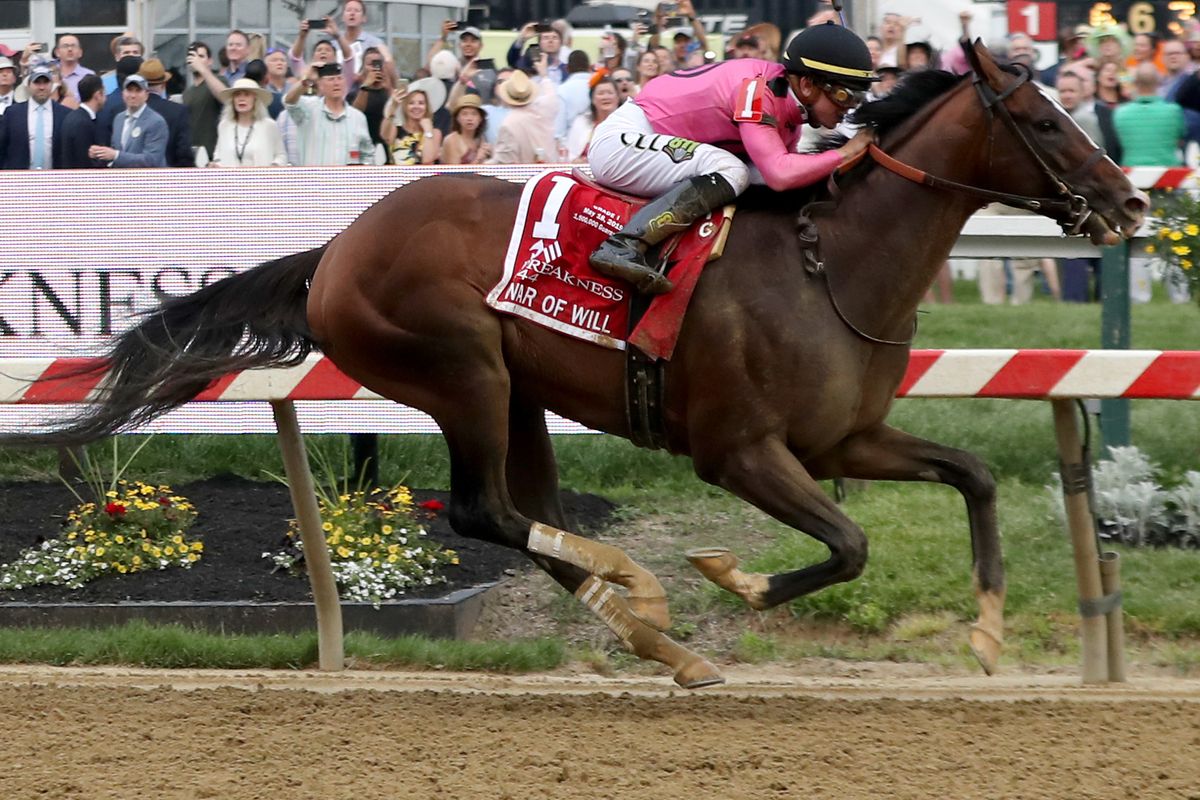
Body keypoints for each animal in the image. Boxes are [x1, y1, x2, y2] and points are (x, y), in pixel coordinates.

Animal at [5, 43, 1146, 687]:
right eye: (1041, 120)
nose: (1130, 201)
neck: (832, 264)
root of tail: (336, 249)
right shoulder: (740, 451)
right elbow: (849, 544)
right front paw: (735, 576)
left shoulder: (847, 436)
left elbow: (975, 476)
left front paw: (990, 635)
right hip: (461, 369)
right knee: (484, 512)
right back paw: (637, 588)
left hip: (518, 391)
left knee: (529, 514)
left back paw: (655, 633)